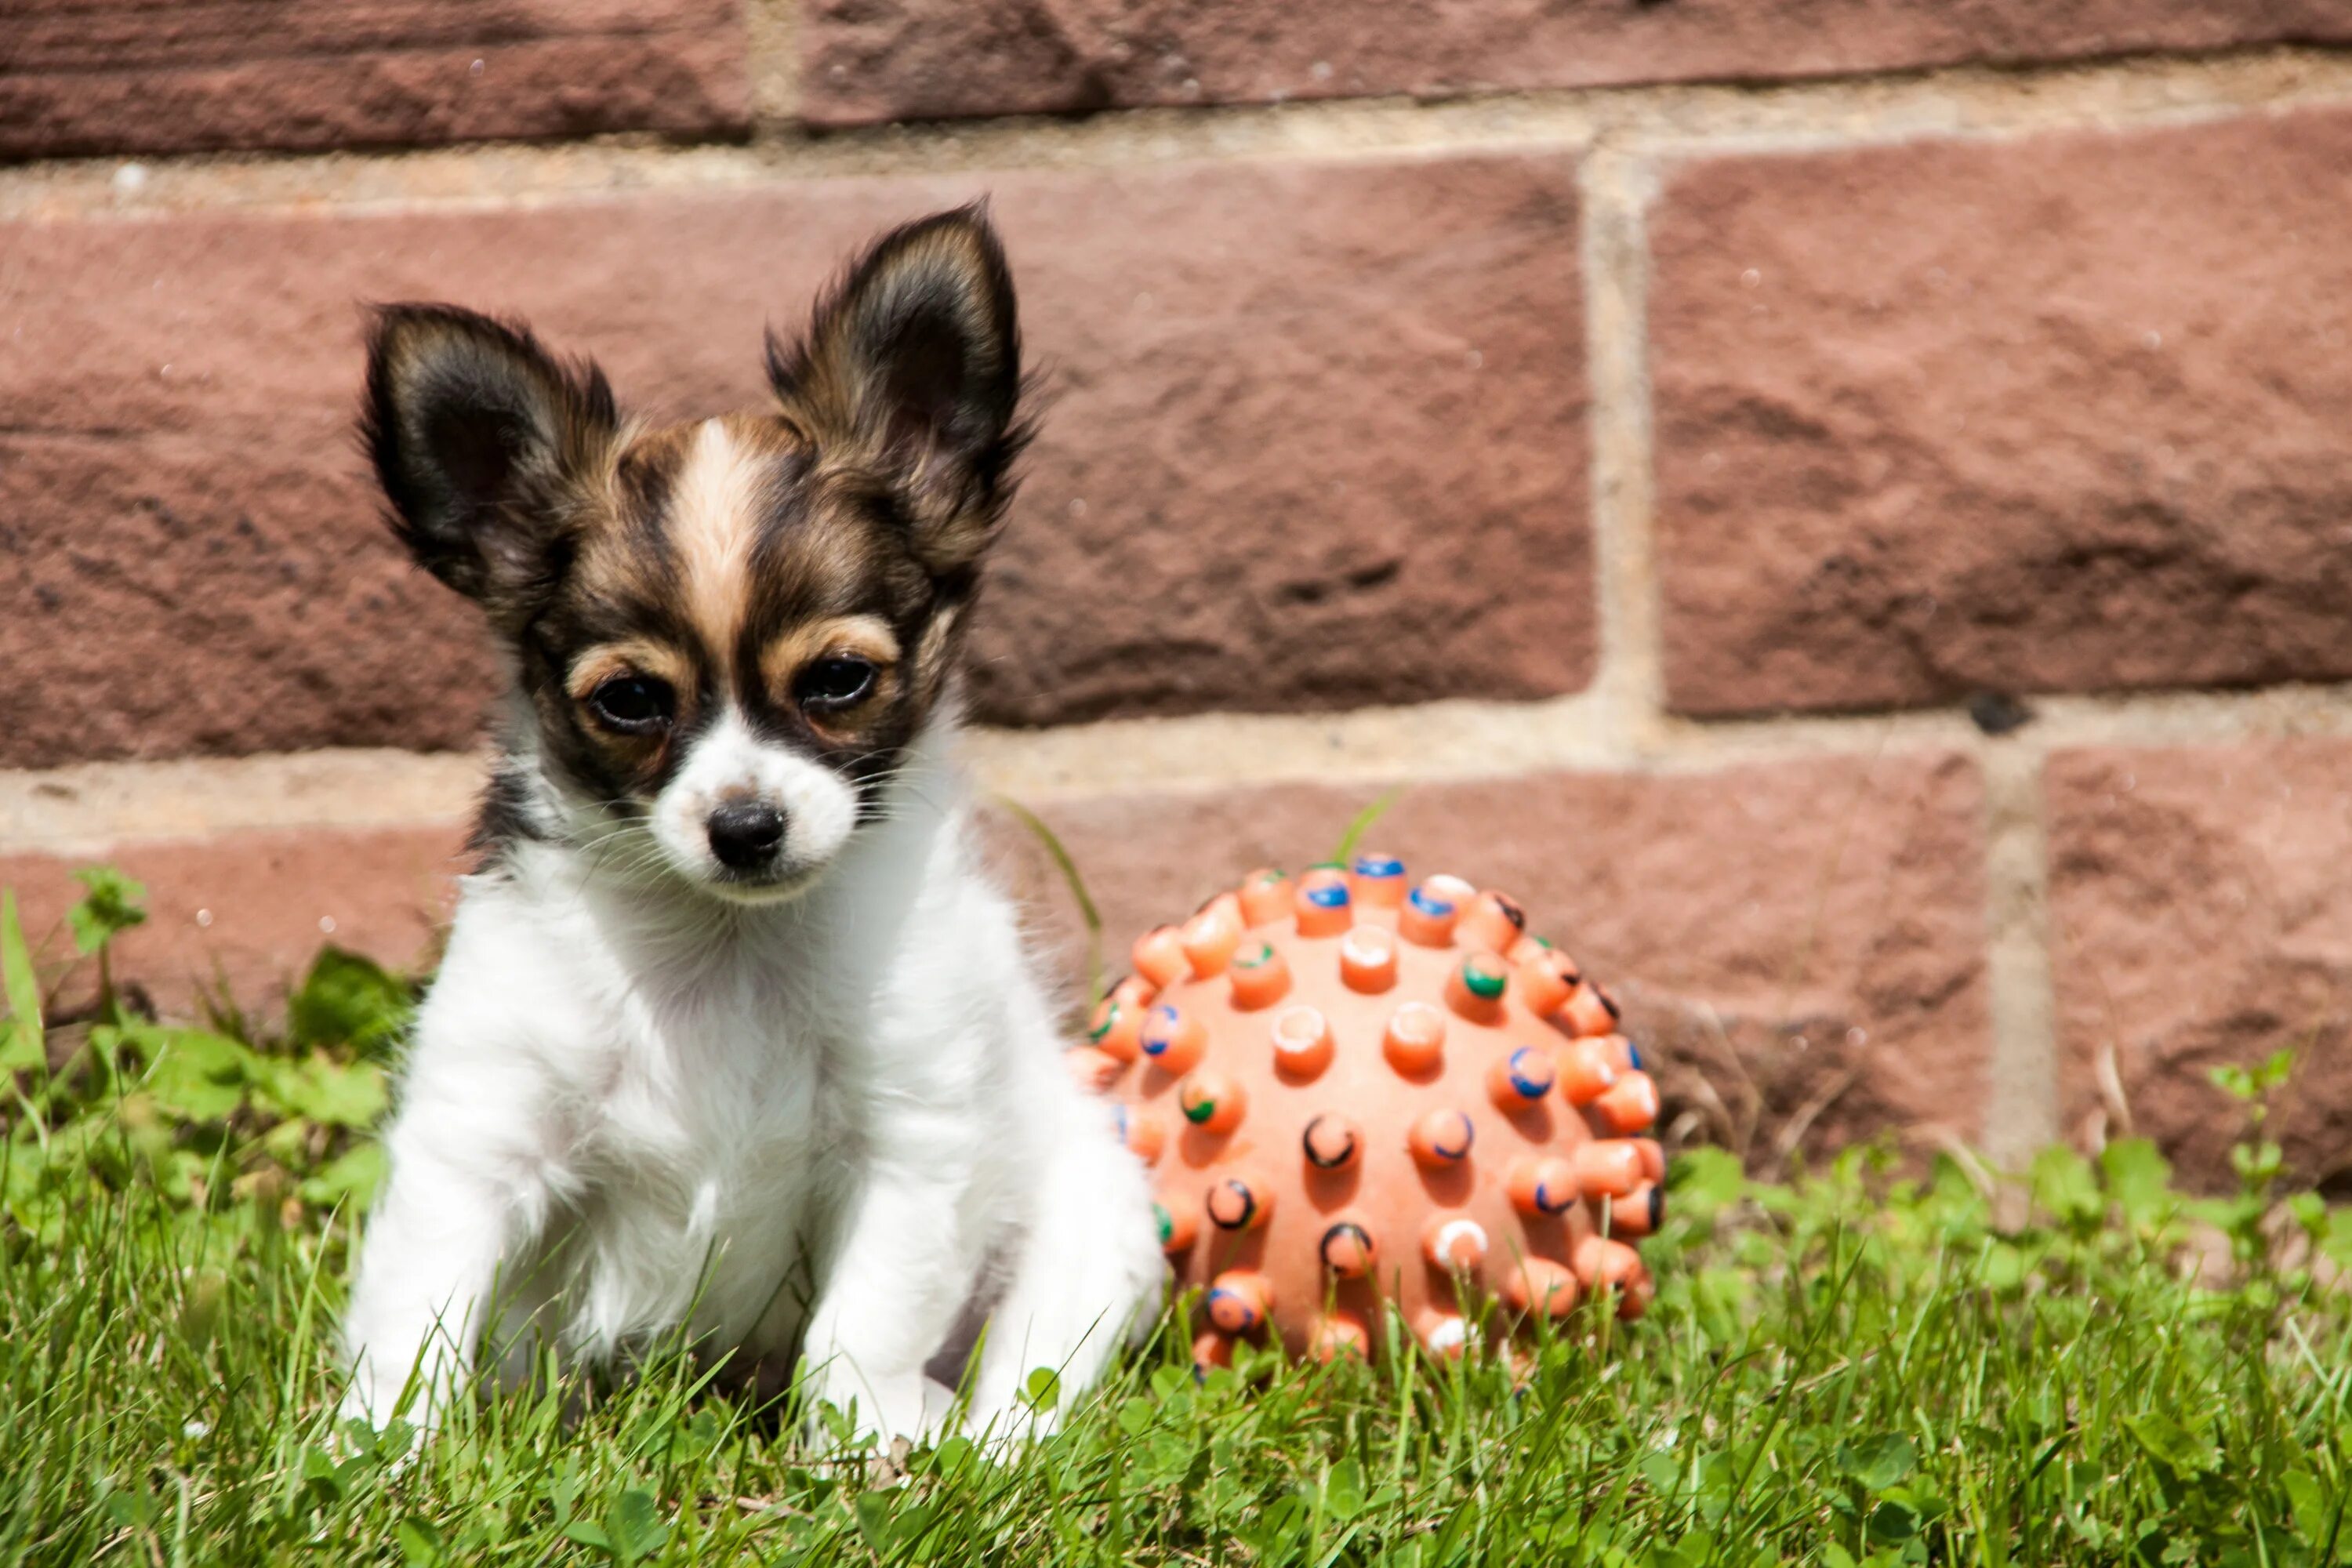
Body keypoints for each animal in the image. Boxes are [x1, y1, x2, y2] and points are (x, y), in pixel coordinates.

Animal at [336, 205, 1162, 1448]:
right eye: (632, 699)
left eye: (837, 680)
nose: (747, 826)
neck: (726, 952)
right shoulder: (482, 1127)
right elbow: (414, 1313)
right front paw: (376, 1456)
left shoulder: (911, 1135)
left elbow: (858, 1329)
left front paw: (861, 1449)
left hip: (1095, 1224)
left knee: (1030, 1378)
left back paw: (969, 1438)